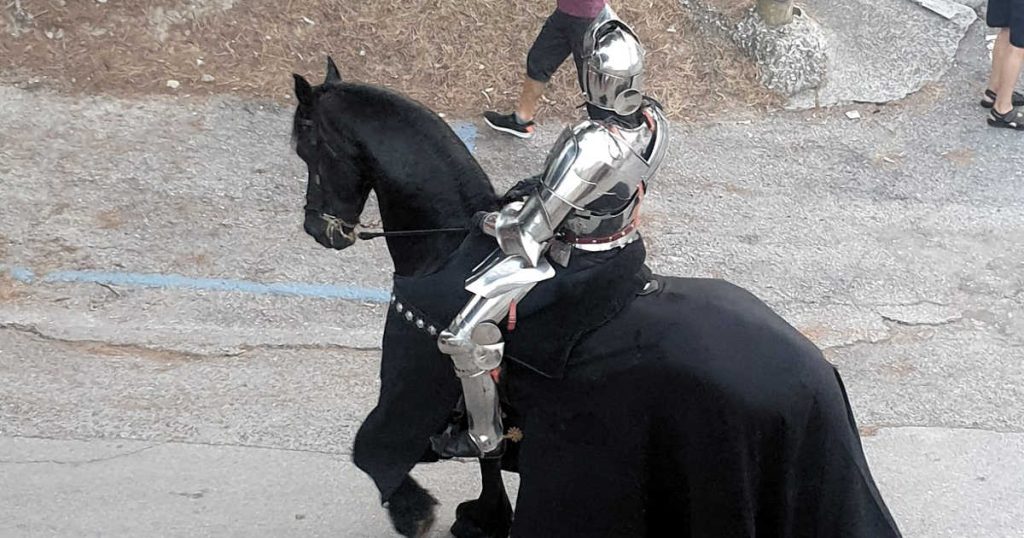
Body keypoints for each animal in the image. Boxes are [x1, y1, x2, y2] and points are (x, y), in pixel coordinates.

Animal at [290, 58, 905, 536]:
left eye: (308, 148)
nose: (320, 231)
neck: (443, 246)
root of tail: (818, 370)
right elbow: (488, 457)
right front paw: (484, 517)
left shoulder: (415, 380)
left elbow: (373, 450)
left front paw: (415, 511)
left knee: (469, 346)